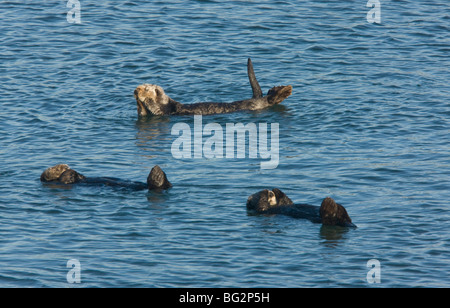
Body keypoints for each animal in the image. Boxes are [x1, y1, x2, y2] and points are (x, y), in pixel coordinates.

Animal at [134, 58, 294, 116]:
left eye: (147, 89)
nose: (136, 89)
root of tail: (255, 98)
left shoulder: (163, 109)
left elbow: (154, 107)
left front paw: (141, 96)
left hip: (258, 104)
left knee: (271, 98)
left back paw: (284, 90)